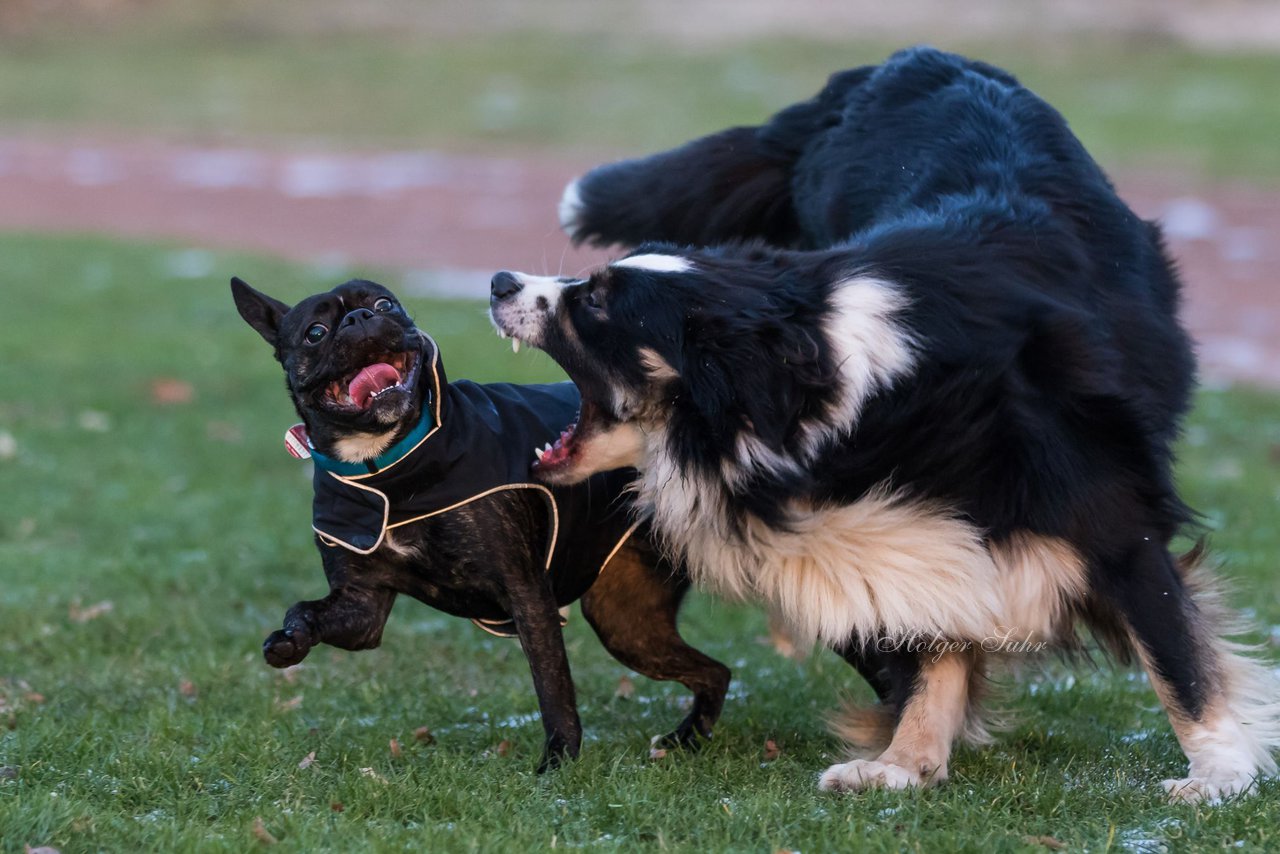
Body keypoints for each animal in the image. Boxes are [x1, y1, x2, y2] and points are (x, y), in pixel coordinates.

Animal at [231, 277, 732, 773]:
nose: (360, 318)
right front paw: (290, 640)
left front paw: (558, 760)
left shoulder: (528, 595)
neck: (389, 467)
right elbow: (304, 609)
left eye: (385, 304)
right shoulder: (361, 607)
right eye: (315, 333)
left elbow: (553, 687)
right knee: (716, 672)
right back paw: (688, 738)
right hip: (627, 622)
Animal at [488, 46, 1280, 798]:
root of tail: (910, 59)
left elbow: (1176, 656)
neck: (832, 395)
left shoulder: (1112, 519)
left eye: (595, 302)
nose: (498, 282)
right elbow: (937, 645)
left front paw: (1219, 775)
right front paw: (904, 764)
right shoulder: (915, 535)